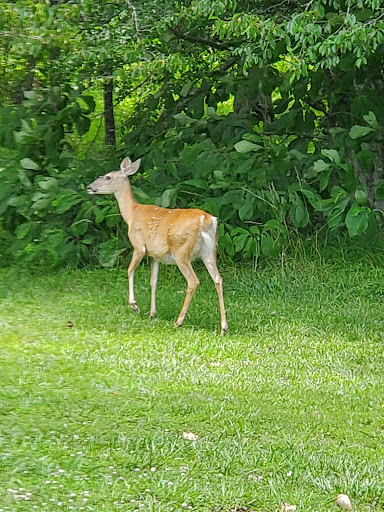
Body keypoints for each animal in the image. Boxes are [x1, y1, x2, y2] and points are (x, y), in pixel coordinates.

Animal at [87, 156, 228, 334]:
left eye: (108, 177)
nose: (89, 187)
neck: (132, 214)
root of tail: (207, 221)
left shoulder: (139, 246)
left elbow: (130, 270)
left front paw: (134, 306)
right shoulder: (156, 255)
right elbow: (153, 281)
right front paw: (152, 313)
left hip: (181, 250)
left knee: (193, 281)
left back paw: (179, 321)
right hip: (209, 251)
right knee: (218, 279)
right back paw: (224, 327)